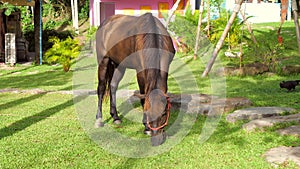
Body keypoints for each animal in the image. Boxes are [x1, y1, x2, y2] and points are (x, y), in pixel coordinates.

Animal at [95, 12, 175, 146]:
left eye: (164, 113)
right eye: (147, 112)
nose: (156, 140)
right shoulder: (140, 71)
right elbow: (143, 98)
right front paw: (146, 128)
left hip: (119, 65)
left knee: (113, 86)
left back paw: (115, 117)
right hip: (103, 61)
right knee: (101, 89)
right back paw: (98, 119)